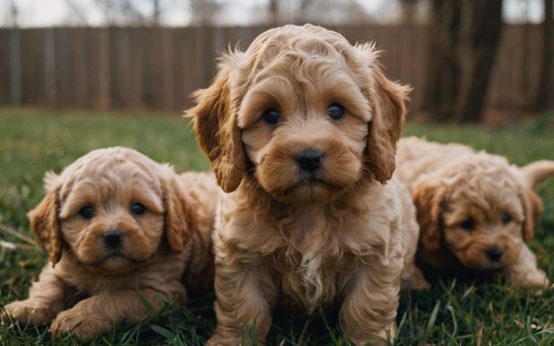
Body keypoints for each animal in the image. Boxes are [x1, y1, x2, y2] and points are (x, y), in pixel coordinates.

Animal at [1, 146, 217, 340]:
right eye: (86, 211)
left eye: (138, 208)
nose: (112, 235)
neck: (107, 272)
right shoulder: (60, 265)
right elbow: (49, 286)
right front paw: (26, 308)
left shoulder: (162, 293)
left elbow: (116, 297)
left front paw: (77, 319)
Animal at [188, 23, 420, 344]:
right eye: (270, 114)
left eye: (336, 111)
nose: (309, 157)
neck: (310, 210)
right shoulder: (241, 255)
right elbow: (244, 308)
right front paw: (232, 340)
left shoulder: (375, 253)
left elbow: (366, 306)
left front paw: (369, 340)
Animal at [394, 137, 552, 288]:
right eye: (467, 223)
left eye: (507, 218)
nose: (495, 253)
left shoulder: (513, 242)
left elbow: (517, 250)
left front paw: (530, 283)